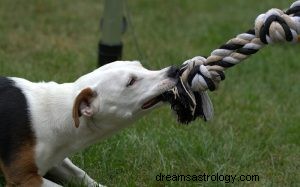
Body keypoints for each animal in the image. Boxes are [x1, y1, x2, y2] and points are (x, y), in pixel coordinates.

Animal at [0, 60, 178, 186]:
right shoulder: (21, 177)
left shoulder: (56, 160)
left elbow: (80, 174)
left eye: (141, 66)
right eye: (131, 82)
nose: (174, 70)